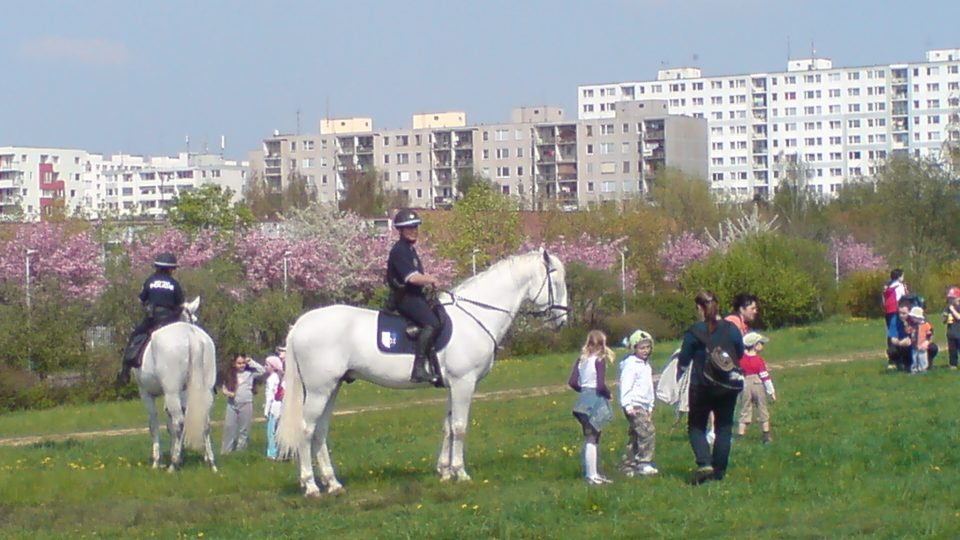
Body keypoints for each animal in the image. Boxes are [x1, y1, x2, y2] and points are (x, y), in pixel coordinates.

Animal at [134, 296, 218, 472]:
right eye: (195, 318)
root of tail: (191, 337)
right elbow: (169, 425)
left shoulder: (146, 393)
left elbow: (154, 424)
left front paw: (157, 461)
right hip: (204, 391)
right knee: (205, 423)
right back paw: (211, 462)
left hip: (171, 392)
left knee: (179, 423)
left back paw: (173, 464)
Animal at [274, 249, 568, 498]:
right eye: (556, 282)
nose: (562, 320)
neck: (474, 316)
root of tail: (300, 325)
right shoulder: (464, 383)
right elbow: (459, 427)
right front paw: (460, 472)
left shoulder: (453, 385)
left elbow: (448, 427)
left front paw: (445, 472)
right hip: (319, 390)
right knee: (306, 430)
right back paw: (311, 486)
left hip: (332, 388)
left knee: (320, 431)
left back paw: (332, 483)